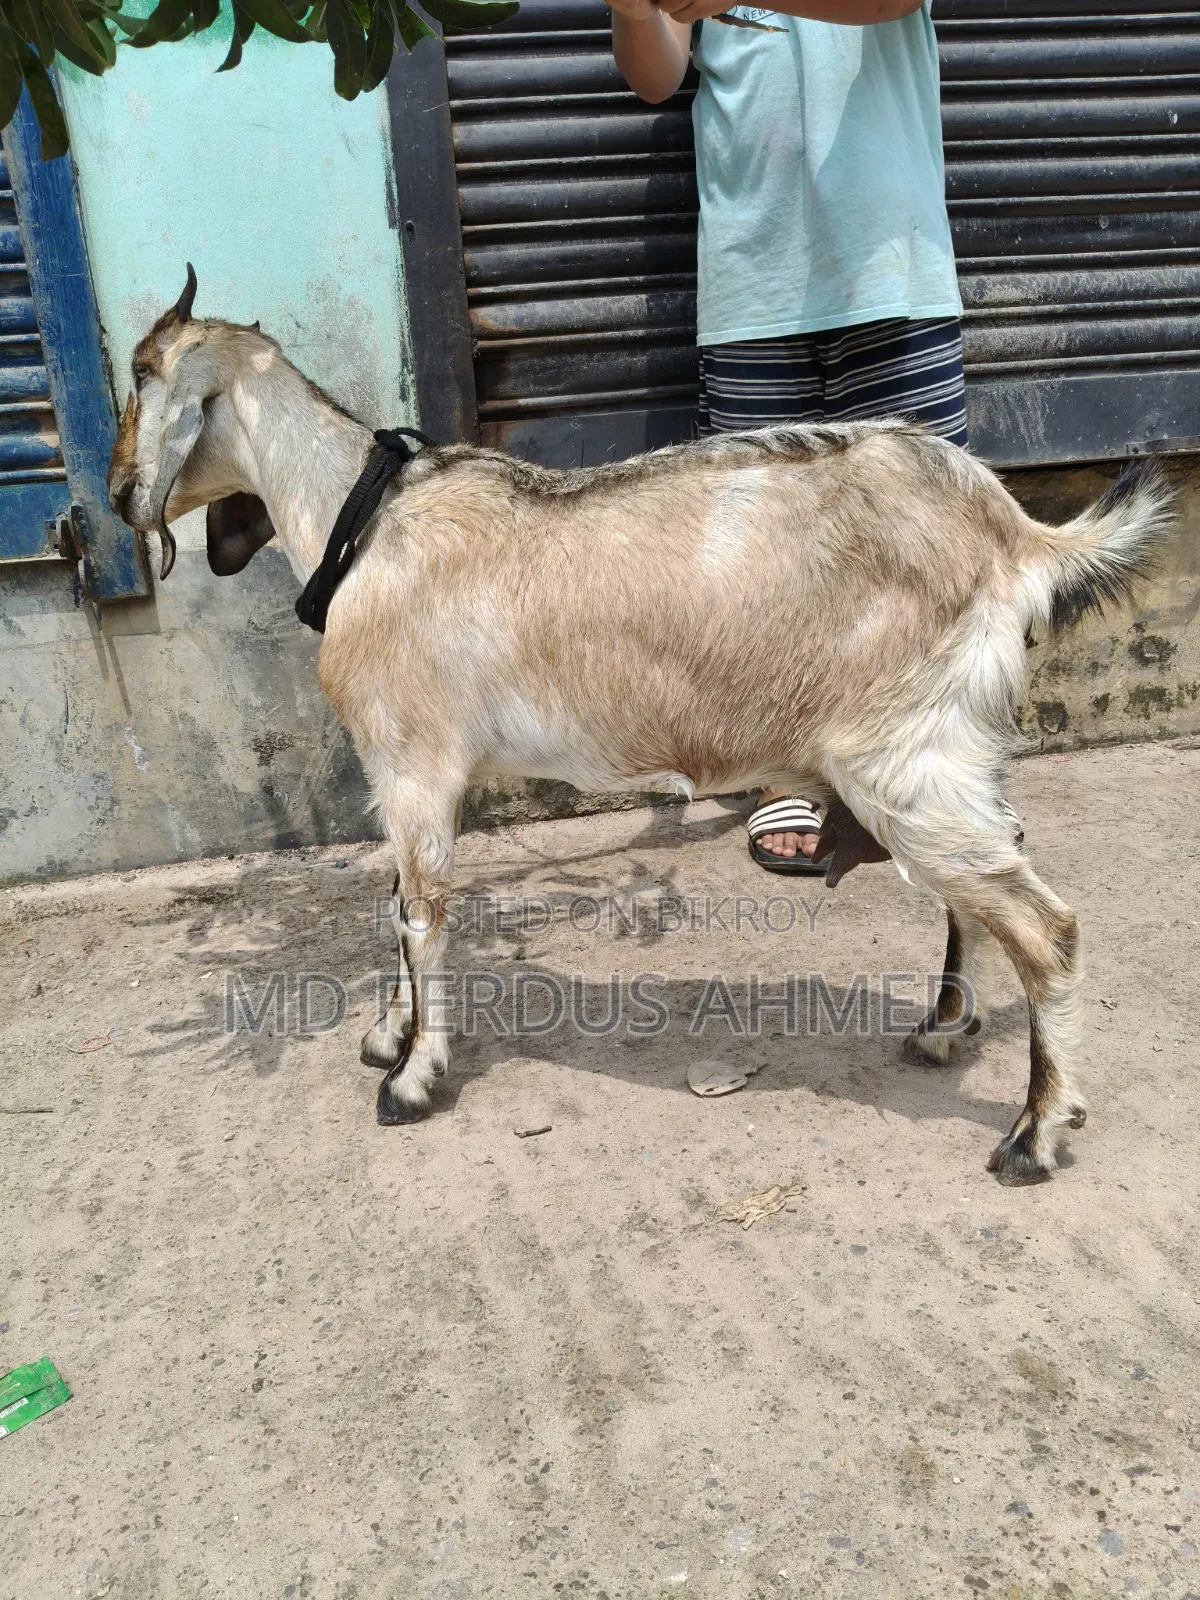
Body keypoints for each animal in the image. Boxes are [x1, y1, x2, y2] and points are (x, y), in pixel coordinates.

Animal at [108, 272, 1175, 1185]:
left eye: (144, 374)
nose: (115, 495)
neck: (361, 524)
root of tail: (1016, 535)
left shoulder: (415, 763)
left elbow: (423, 912)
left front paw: (411, 1078)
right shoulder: (396, 772)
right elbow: (395, 900)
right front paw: (386, 1035)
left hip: (902, 756)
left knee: (1046, 925)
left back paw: (1034, 1134)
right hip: (951, 752)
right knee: (990, 882)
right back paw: (948, 1030)